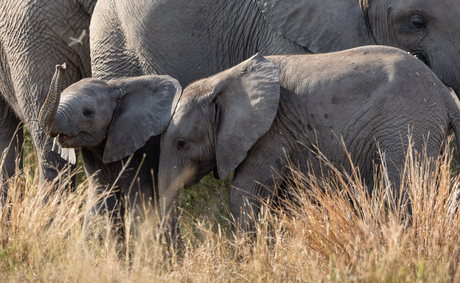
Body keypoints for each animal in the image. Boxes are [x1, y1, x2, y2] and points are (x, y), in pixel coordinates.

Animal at [38, 65, 181, 244]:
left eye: (88, 112)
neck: (113, 88)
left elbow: (139, 200)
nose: (61, 66)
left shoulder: (142, 148)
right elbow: (104, 200)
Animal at [157, 45, 460, 241]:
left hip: (406, 125)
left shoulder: (271, 132)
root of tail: (445, 95)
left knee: (402, 189)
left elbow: (247, 192)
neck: (222, 80)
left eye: (182, 144)